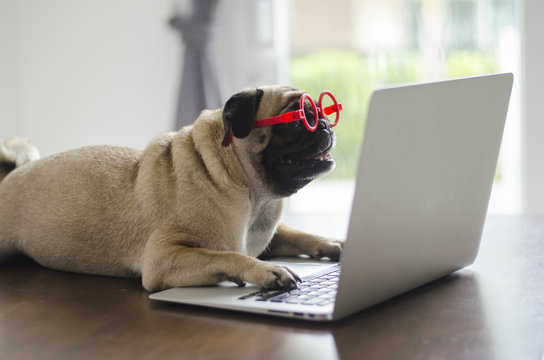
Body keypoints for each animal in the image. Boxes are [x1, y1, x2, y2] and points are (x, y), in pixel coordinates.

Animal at [0, 86, 340, 292]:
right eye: (298, 120)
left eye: (324, 111)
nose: (325, 125)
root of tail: (11, 176)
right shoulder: (164, 258)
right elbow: (229, 256)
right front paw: (266, 271)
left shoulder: (268, 233)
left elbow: (296, 233)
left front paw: (331, 241)